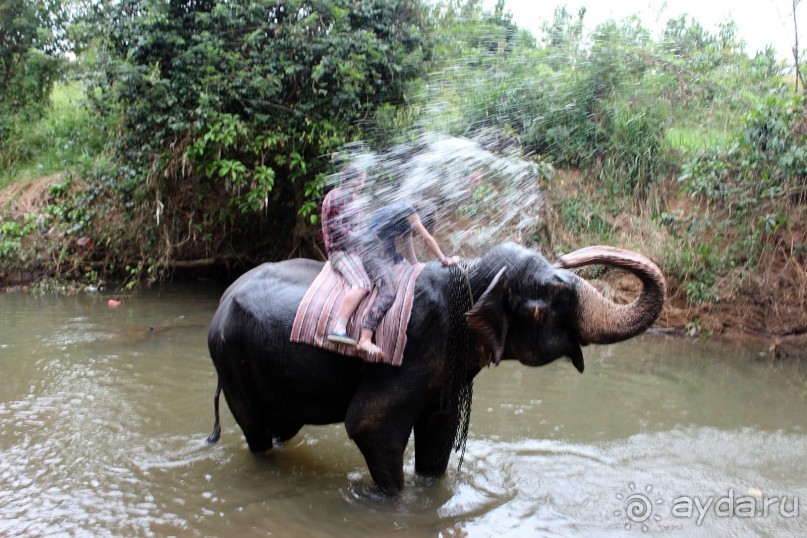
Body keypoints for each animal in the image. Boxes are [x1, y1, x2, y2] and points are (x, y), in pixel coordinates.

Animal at [205, 243, 664, 494]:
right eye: (544, 307)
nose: (570, 254)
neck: (474, 276)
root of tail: (221, 299)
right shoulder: (413, 347)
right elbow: (369, 423)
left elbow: (439, 433)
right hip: (229, 358)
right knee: (257, 433)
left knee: (283, 428)